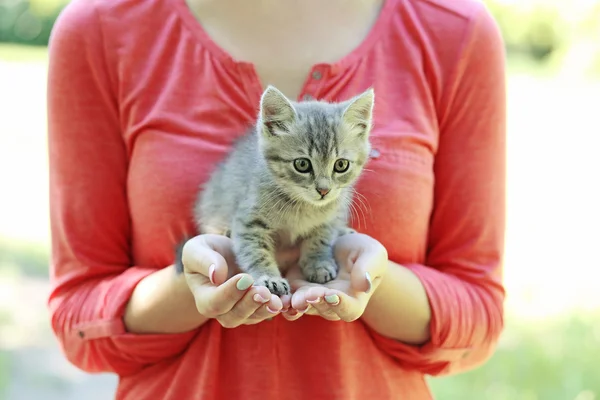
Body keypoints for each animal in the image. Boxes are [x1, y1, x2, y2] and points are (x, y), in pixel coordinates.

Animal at [178, 85, 376, 296]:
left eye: (341, 165)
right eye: (302, 164)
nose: (324, 190)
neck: (304, 206)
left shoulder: (330, 218)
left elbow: (320, 239)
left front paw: (318, 262)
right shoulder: (249, 221)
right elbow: (255, 251)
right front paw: (269, 277)